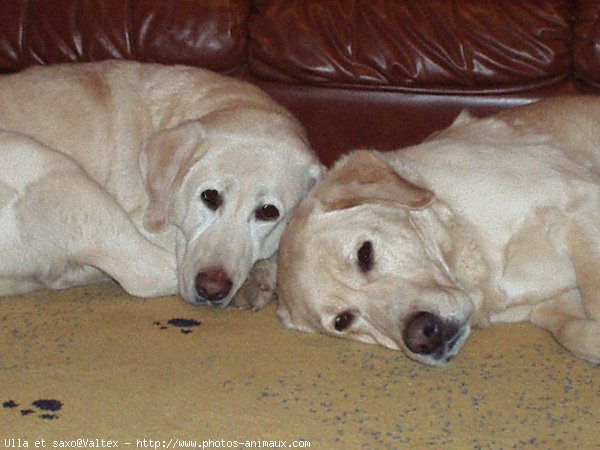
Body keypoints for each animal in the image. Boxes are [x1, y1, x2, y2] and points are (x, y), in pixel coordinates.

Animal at [0, 60, 324, 306]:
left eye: (268, 212)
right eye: (209, 196)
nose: (211, 289)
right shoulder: (144, 219)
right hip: (49, 167)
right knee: (147, 273)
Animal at [278, 96, 600, 368]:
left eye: (364, 254)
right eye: (343, 320)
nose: (422, 335)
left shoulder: (580, 201)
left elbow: (593, 297)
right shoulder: (551, 305)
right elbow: (574, 331)